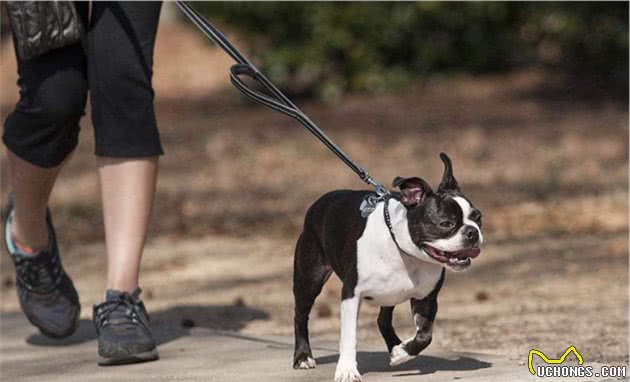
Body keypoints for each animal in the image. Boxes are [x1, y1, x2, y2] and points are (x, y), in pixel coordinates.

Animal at [294, 153, 486, 382]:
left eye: (478, 218)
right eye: (446, 223)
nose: (472, 232)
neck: (405, 252)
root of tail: (319, 202)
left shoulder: (426, 298)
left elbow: (425, 335)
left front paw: (402, 352)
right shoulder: (351, 294)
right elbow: (349, 336)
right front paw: (347, 369)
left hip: (389, 294)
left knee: (383, 320)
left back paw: (396, 346)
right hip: (310, 280)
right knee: (301, 315)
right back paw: (303, 357)